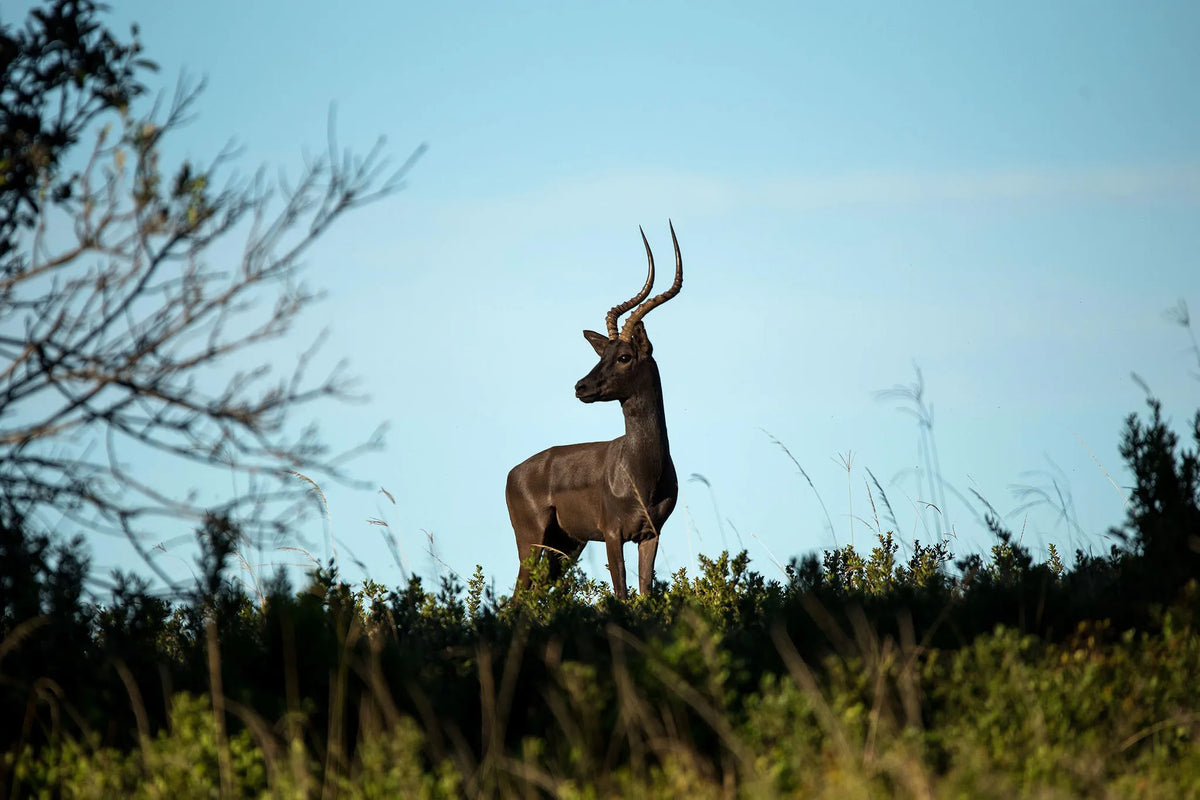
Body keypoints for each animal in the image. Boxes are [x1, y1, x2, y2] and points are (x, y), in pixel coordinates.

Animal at [506, 223, 683, 600]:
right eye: (604, 354)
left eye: (624, 356)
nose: (581, 387)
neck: (641, 471)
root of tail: (514, 472)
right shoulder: (613, 534)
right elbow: (621, 593)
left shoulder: (650, 535)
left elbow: (644, 592)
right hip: (531, 541)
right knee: (516, 597)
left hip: (567, 546)